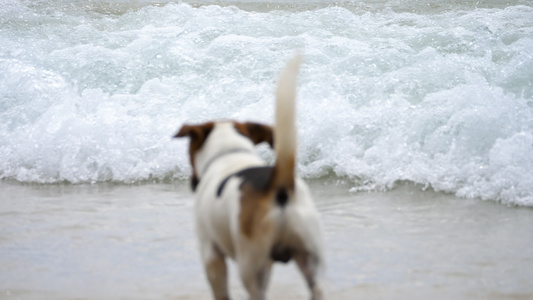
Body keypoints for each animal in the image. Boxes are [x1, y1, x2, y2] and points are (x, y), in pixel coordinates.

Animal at [175, 55, 324, 300]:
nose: (193, 183)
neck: (230, 151)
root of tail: (279, 185)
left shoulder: (211, 252)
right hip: (309, 256)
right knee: (317, 288)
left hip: (250, 263)